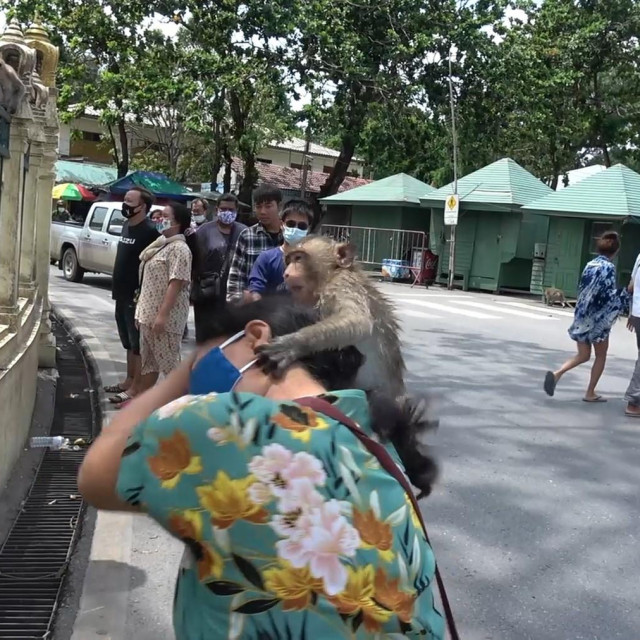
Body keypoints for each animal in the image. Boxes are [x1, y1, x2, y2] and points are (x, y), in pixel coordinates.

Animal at [256, 234, 402, 396]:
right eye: (288, 261)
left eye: (298, 258)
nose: (286, 274)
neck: (329, 276)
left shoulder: (341, 283)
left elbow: (358, 320)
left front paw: (293, 343)